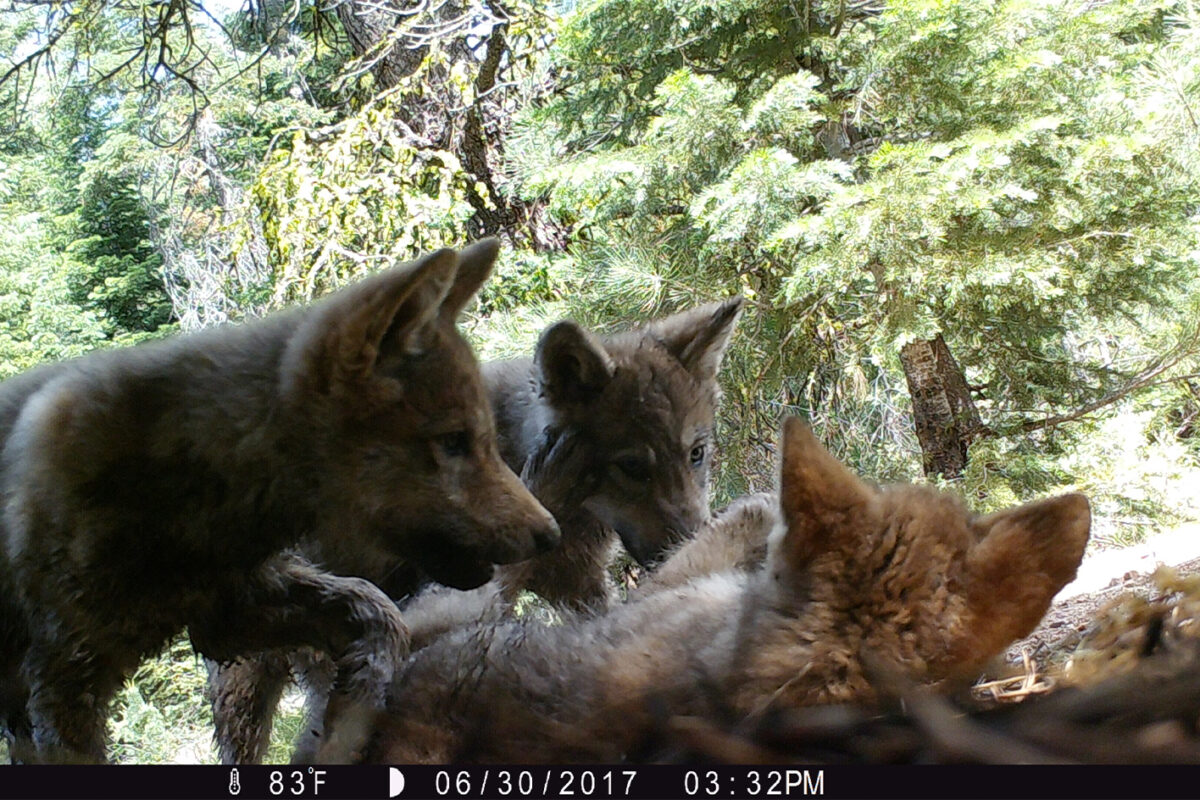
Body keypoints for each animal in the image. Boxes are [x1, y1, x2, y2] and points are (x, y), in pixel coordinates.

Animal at [0, 240, 560, 763]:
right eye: (453, 442)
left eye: (486, 440)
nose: (550, 534)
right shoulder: (63, 680)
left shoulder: (230, 614)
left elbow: (380, 616)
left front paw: (344, 721)